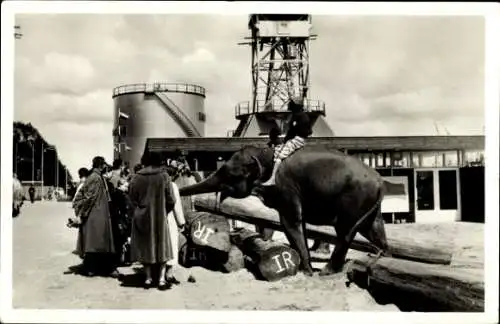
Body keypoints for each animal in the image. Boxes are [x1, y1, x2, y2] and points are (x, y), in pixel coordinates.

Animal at [180, 146, 398, 276]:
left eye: (231, 175)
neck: (267, 152)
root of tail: (380, 181)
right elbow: (293, 225)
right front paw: (303, 268)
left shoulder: (286, 188)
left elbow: (290, 222)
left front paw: (307, 272)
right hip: (368, 206)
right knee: (374, 230)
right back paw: (383, 259)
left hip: (354, 200)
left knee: (345, 232)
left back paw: (326, 272)